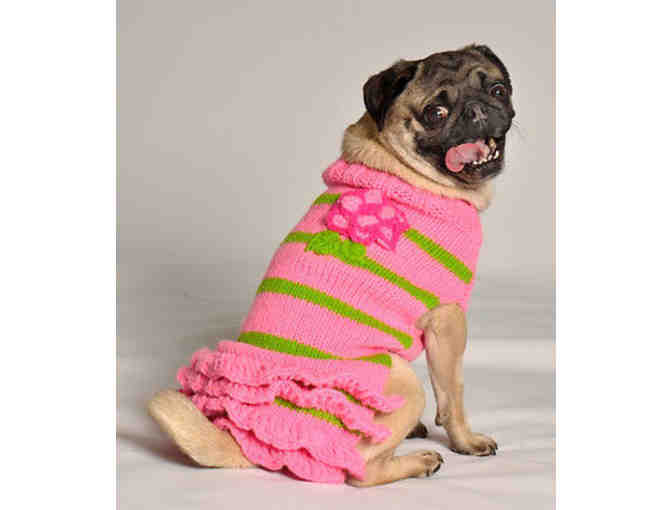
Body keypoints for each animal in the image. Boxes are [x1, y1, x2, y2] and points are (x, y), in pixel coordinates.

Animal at [148, 44, 515, 487]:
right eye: (436, 113)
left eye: (497, 89)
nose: (478, 110)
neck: (403, 171)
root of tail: (243, 441)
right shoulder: (448, 319)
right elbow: (453, 392)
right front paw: (465, 440)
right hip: (402, 378)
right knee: (359, 471)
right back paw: (418, 462)